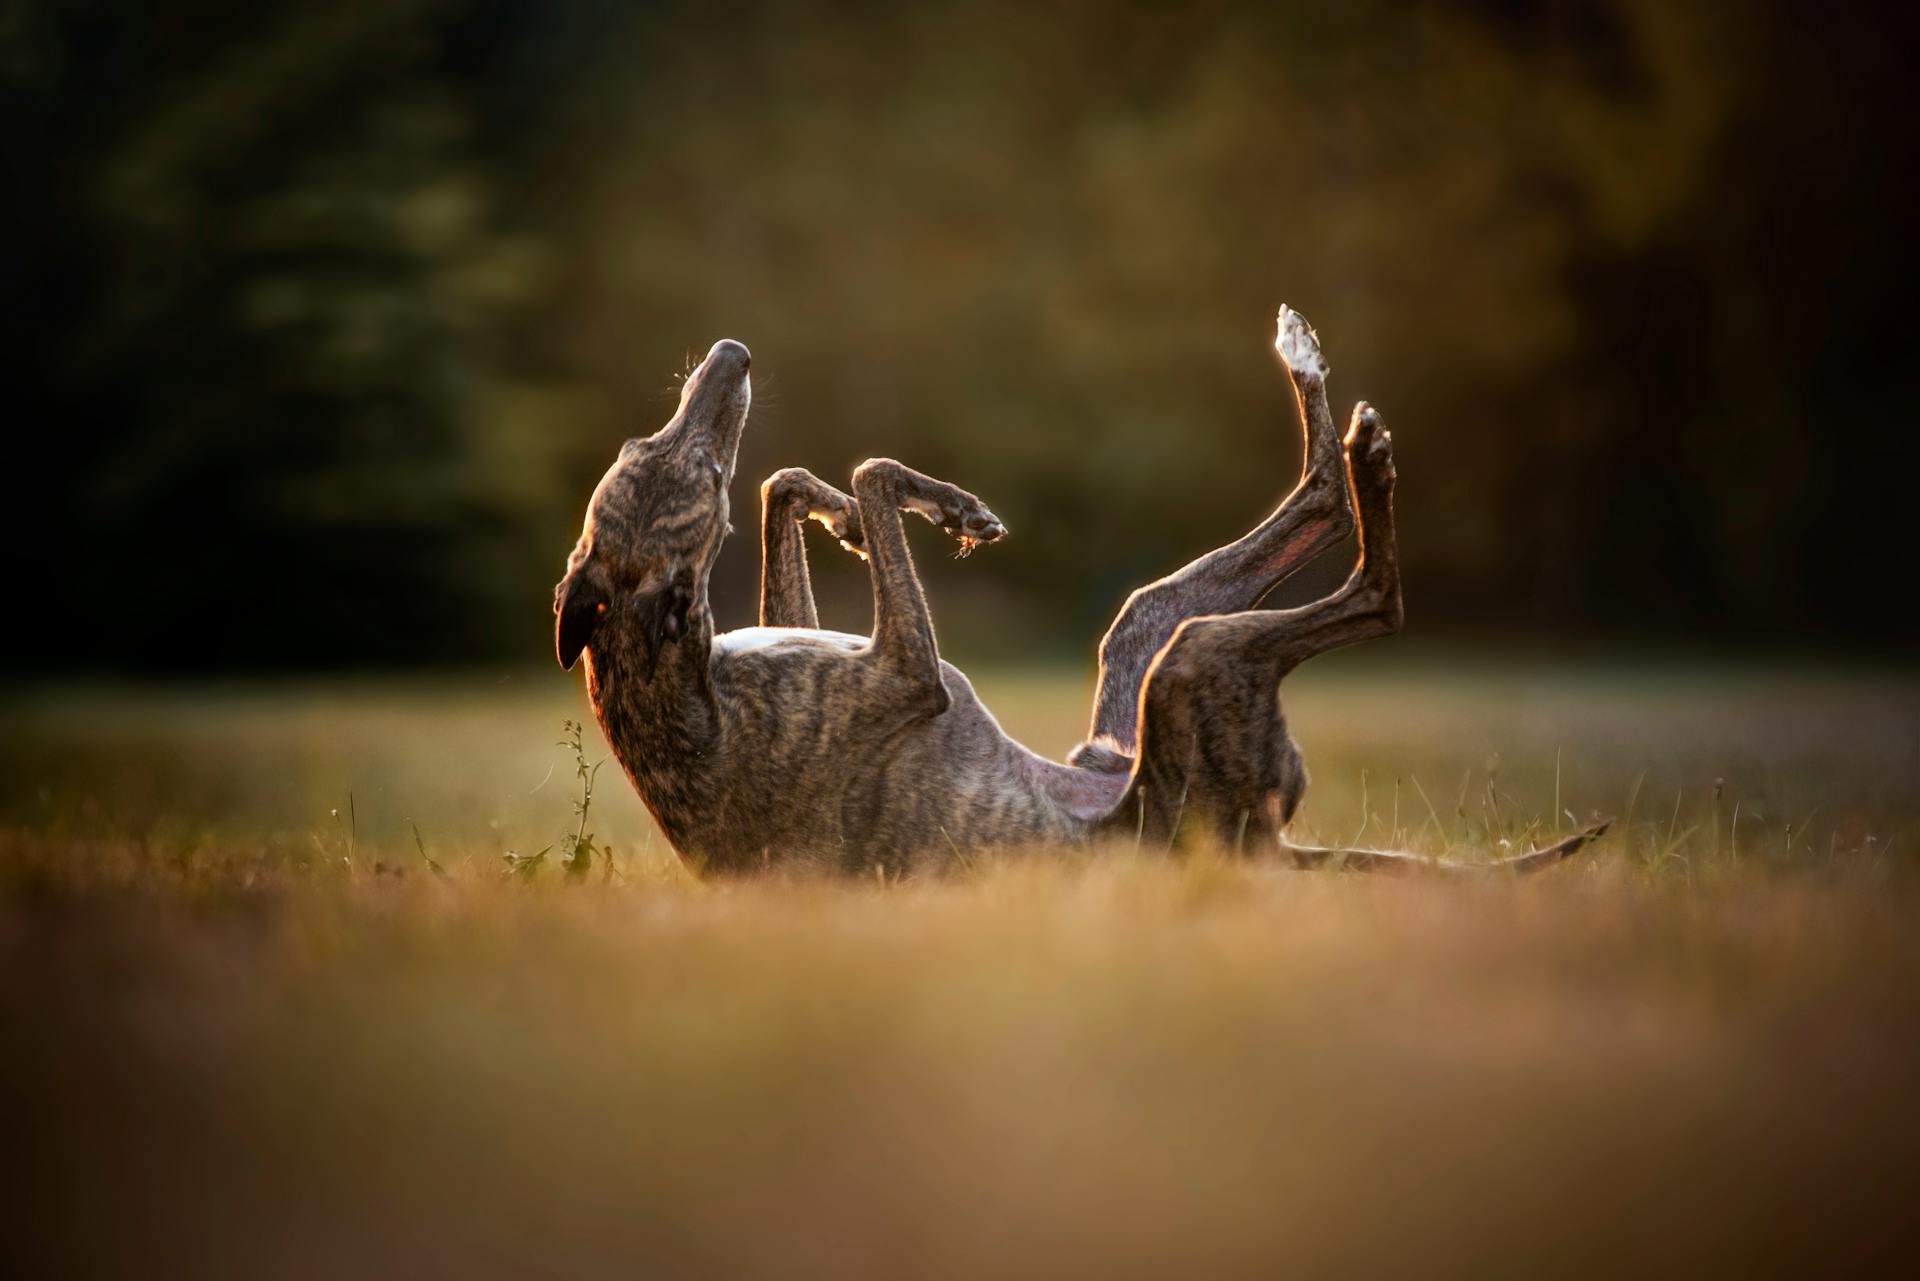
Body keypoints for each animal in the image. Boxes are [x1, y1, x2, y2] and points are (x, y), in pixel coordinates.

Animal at [552, 309, 1605, 871]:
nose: (731, 353)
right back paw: (1366, 455)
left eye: (638, 444)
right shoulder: (908, 676)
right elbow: (875, 468)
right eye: (686, 466)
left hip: (1144, 647)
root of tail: (1266, 856)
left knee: (1310, 511)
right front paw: (949, 505)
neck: (668, 675)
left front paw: (845, 512)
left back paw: (1310, 373)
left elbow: (796, 487)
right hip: (1192, 665)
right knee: (1377, 589)